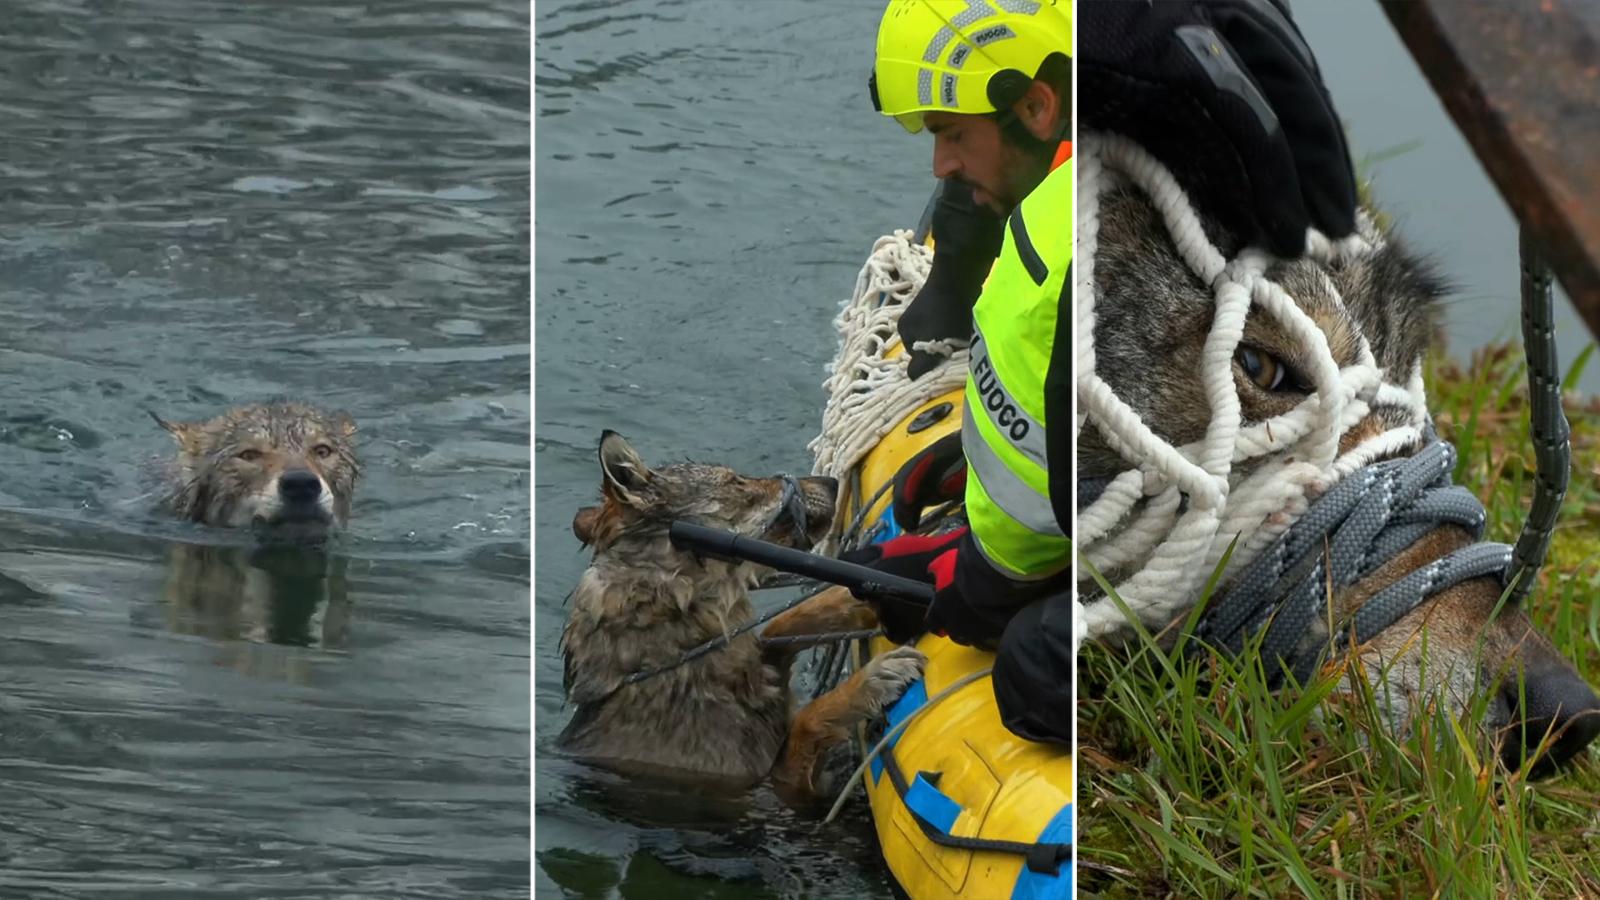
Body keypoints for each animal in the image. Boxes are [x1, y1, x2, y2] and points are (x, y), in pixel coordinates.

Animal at [560, 432, 928, 794]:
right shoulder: (778, 783)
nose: (832, 483)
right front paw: (870, 680)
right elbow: (807, 720)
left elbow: (780, 626)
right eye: (735, 481)